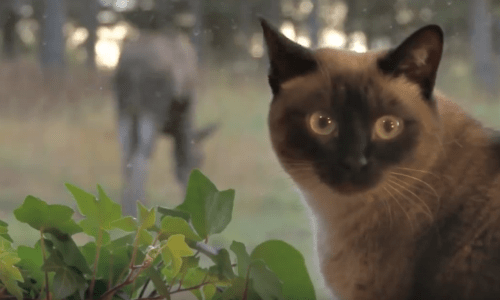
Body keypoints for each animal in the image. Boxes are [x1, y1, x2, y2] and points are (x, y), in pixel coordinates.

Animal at [115, 30, 217, 217]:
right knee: (142, 157)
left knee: (126, 155)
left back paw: (126, 208)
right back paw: (139, 206)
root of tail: (132, 67)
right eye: (201, 158)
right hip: (151, 109)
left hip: (124, 109)